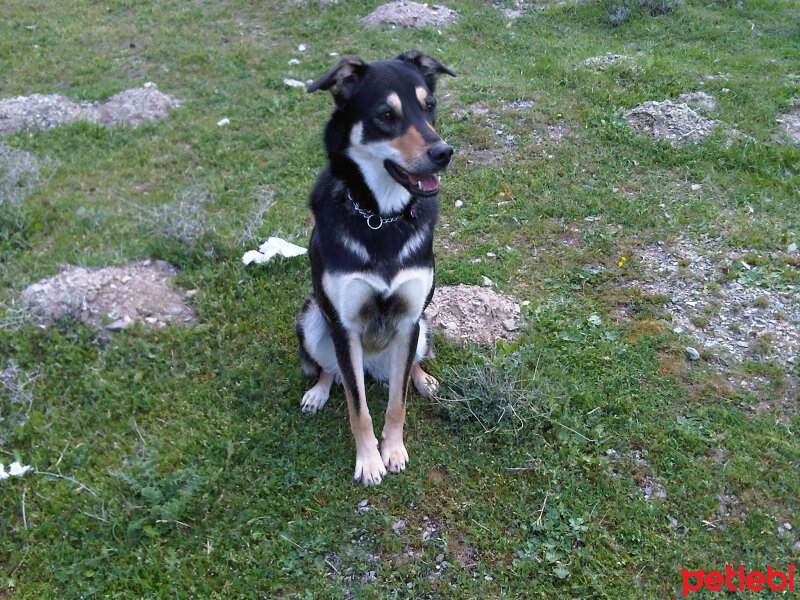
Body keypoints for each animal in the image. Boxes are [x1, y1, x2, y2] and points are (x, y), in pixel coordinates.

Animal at [296, 49, 456, 486]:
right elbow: (359, 408)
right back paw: (319, 391)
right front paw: (369, 461)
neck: (380, 216)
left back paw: (424, 379)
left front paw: (394, 451)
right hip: (312, 319)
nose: (444, 153)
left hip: (423, 327)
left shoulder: (409, 318)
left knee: (409, 365)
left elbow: (396, 403)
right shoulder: (344, 325)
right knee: (331, 369)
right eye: (386, 115)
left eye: (430, 106)